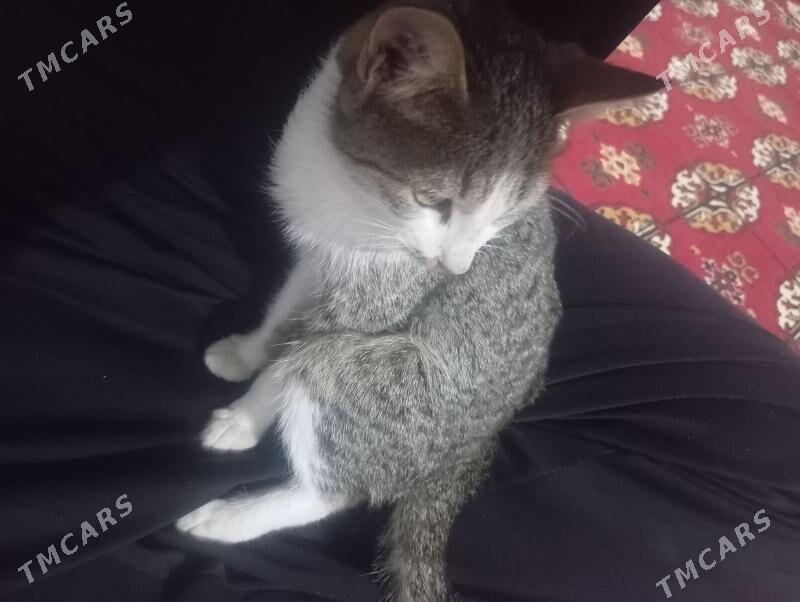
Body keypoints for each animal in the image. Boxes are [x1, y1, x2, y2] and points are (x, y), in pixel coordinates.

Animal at [176, 1, 661, 600]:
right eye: (434, 201)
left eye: (504, 217)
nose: (456, 267)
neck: (349, 190)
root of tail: (478, 443)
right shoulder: (320, 256)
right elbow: (285, 312)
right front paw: (247, 352)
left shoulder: (377, 301)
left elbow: (296, 354)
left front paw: (244, 418)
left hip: (382, 380)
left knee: (333, 472)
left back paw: (229, 518)